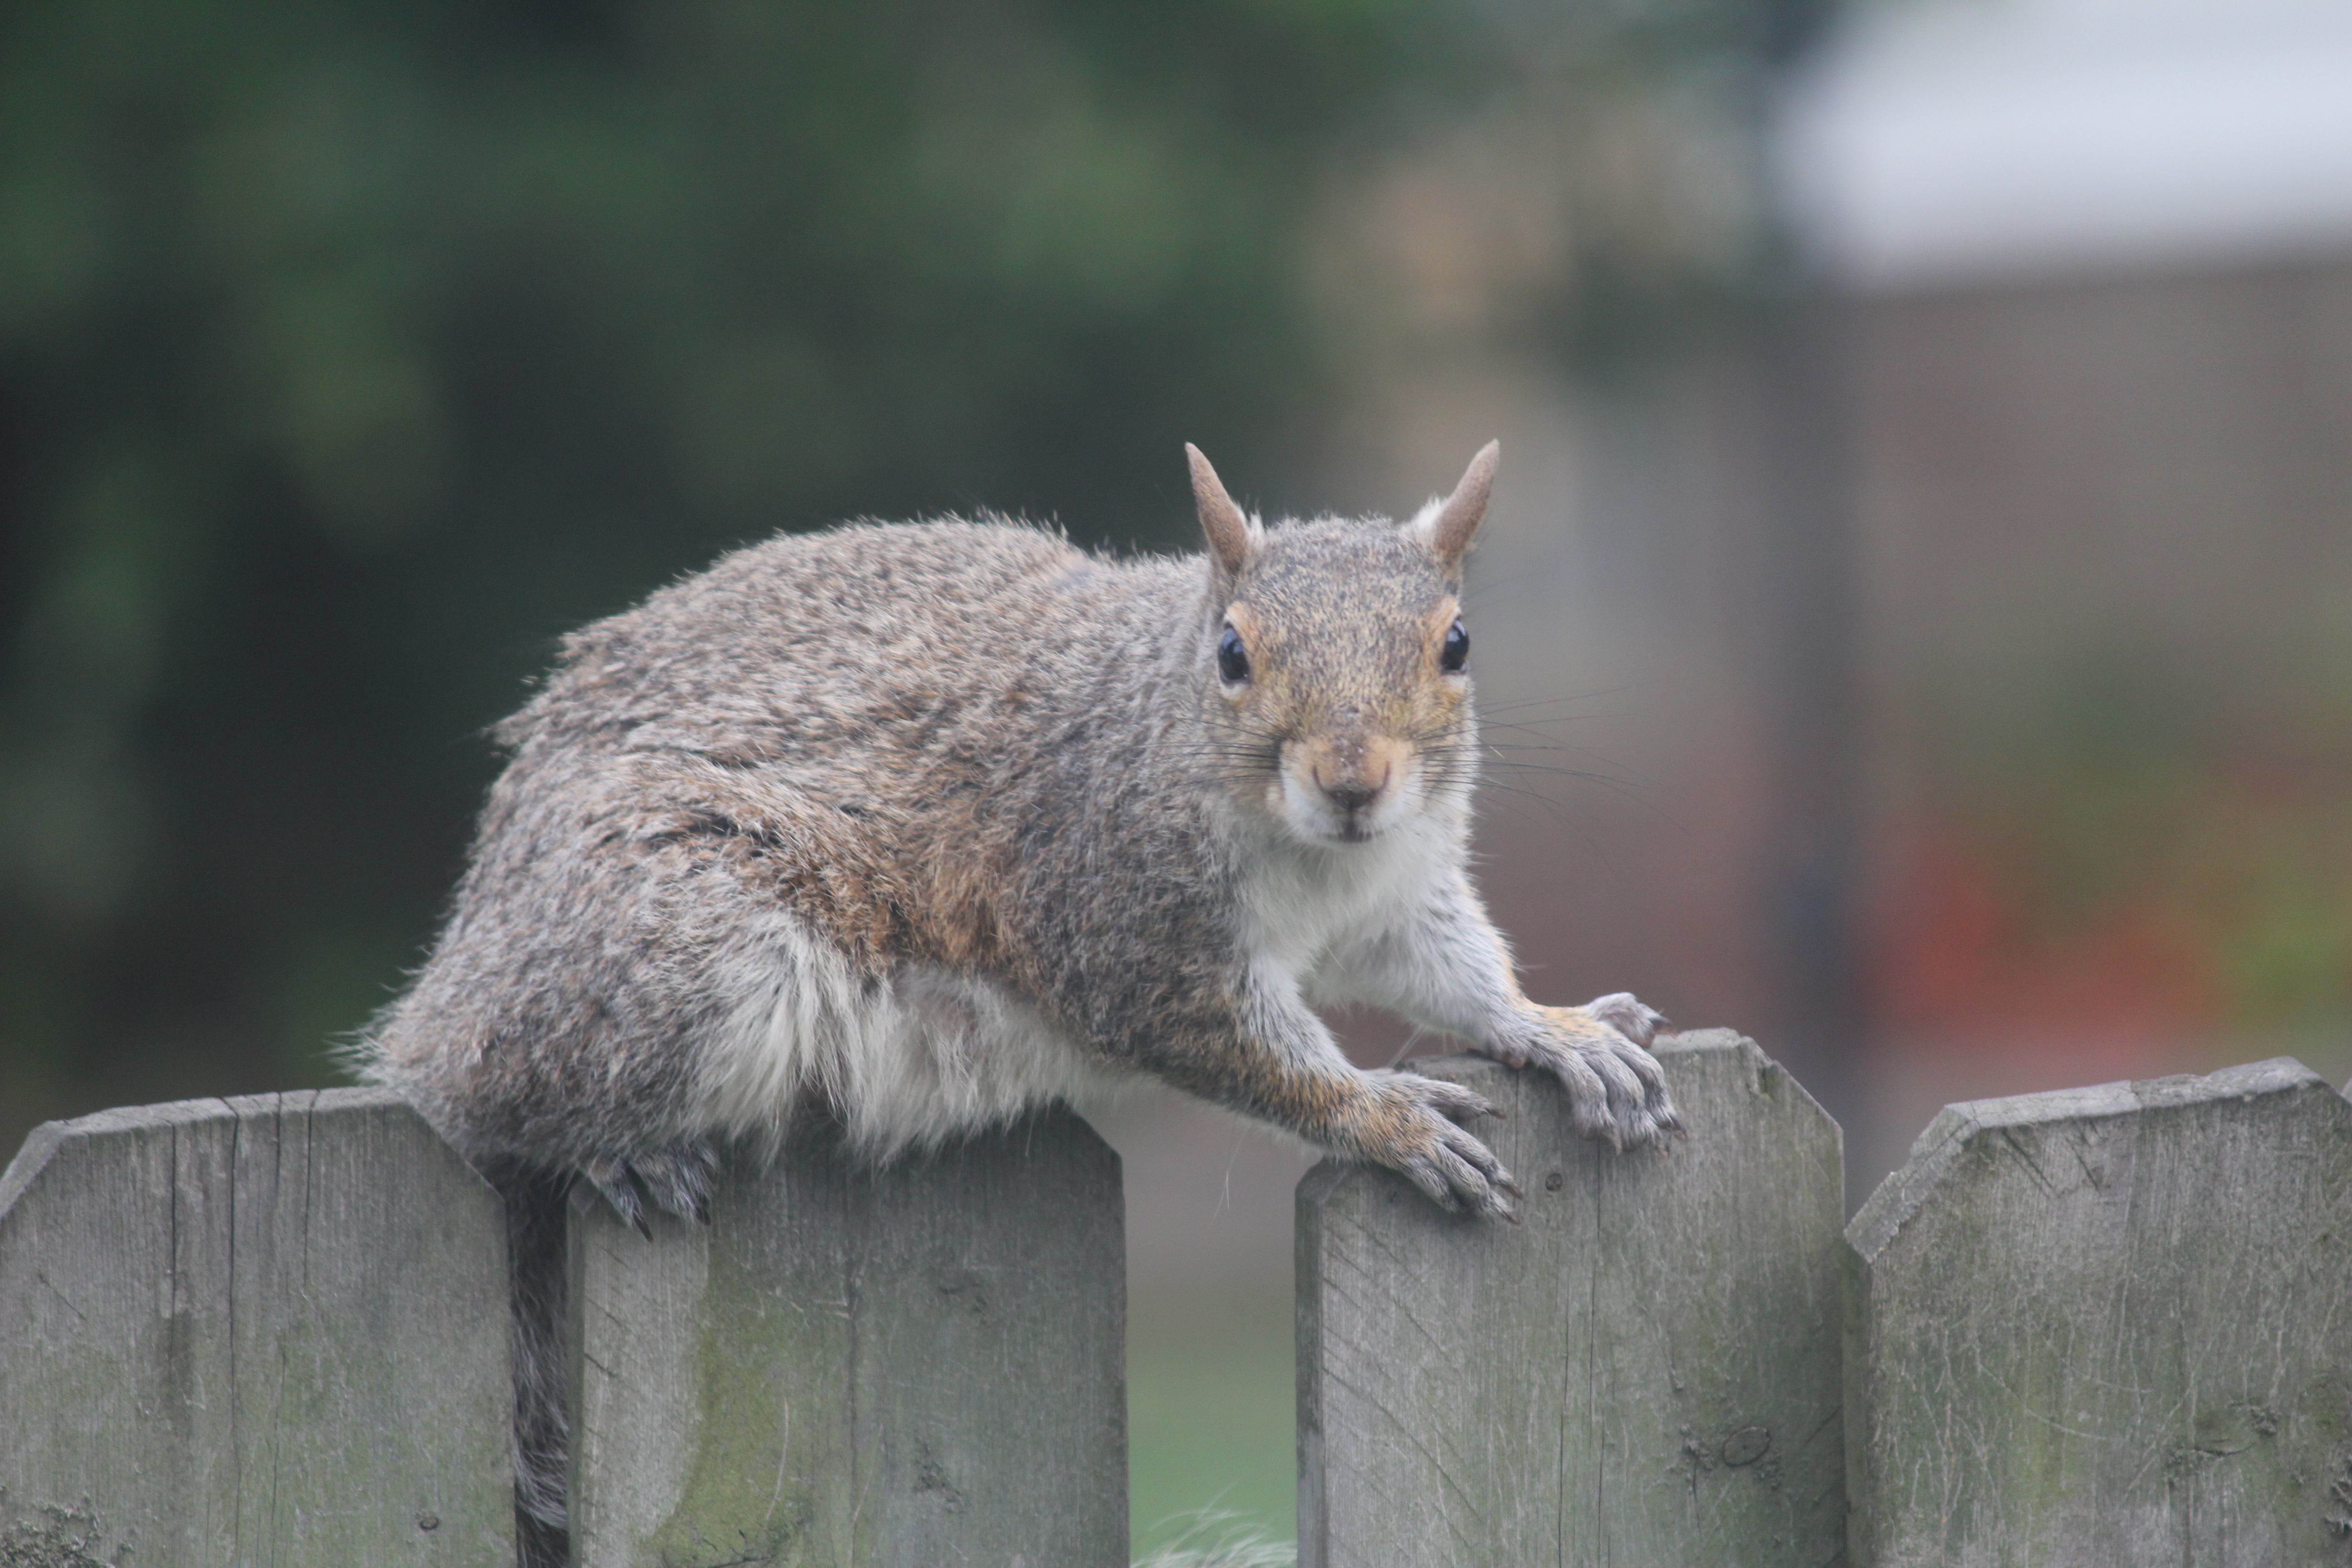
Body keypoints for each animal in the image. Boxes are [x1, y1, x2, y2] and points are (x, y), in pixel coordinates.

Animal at [353, 439, 1675, 1542]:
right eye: (1232, 652)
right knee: (482, 1093)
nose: (1352, 782)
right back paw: (605, 1148)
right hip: (675, 953)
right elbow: (1241, 1048)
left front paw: (1555, 1030)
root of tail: (475, 931)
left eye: (1457, 645)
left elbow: (1447, 968)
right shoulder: (1117, 919)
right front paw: (1386, 1116)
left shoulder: (1395, 894)